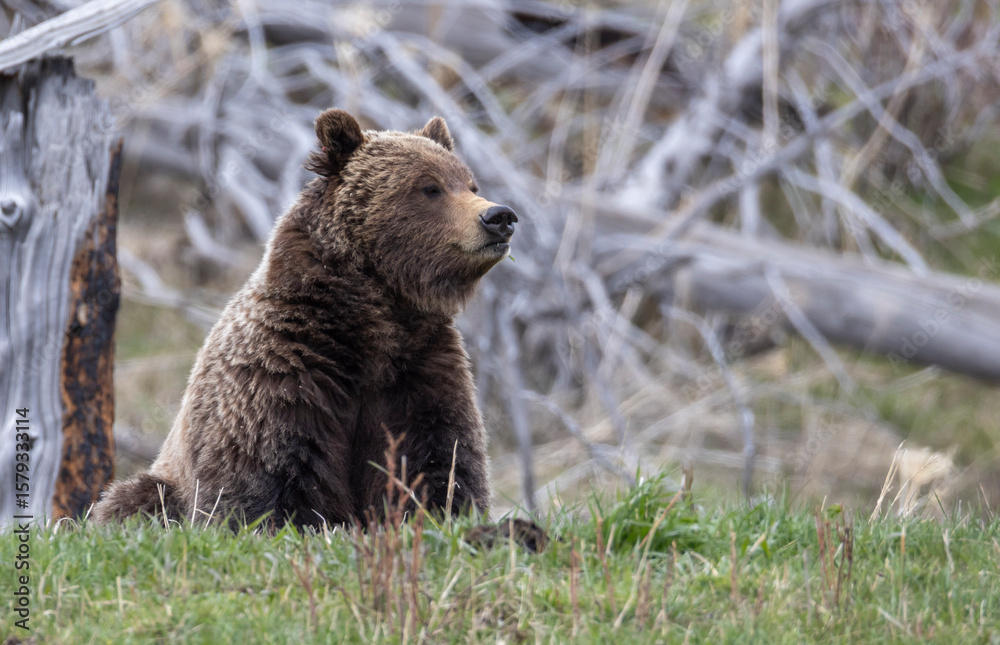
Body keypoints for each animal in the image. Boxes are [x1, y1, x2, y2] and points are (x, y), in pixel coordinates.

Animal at [92, 109, 519, 530]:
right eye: (429, 187)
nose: (499, 216)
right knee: (135, 499)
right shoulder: (283, 372)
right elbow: (272, 477)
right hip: (162, 484)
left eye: (470, 183)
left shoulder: (420, 371)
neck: (374, 322)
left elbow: (440, 463)